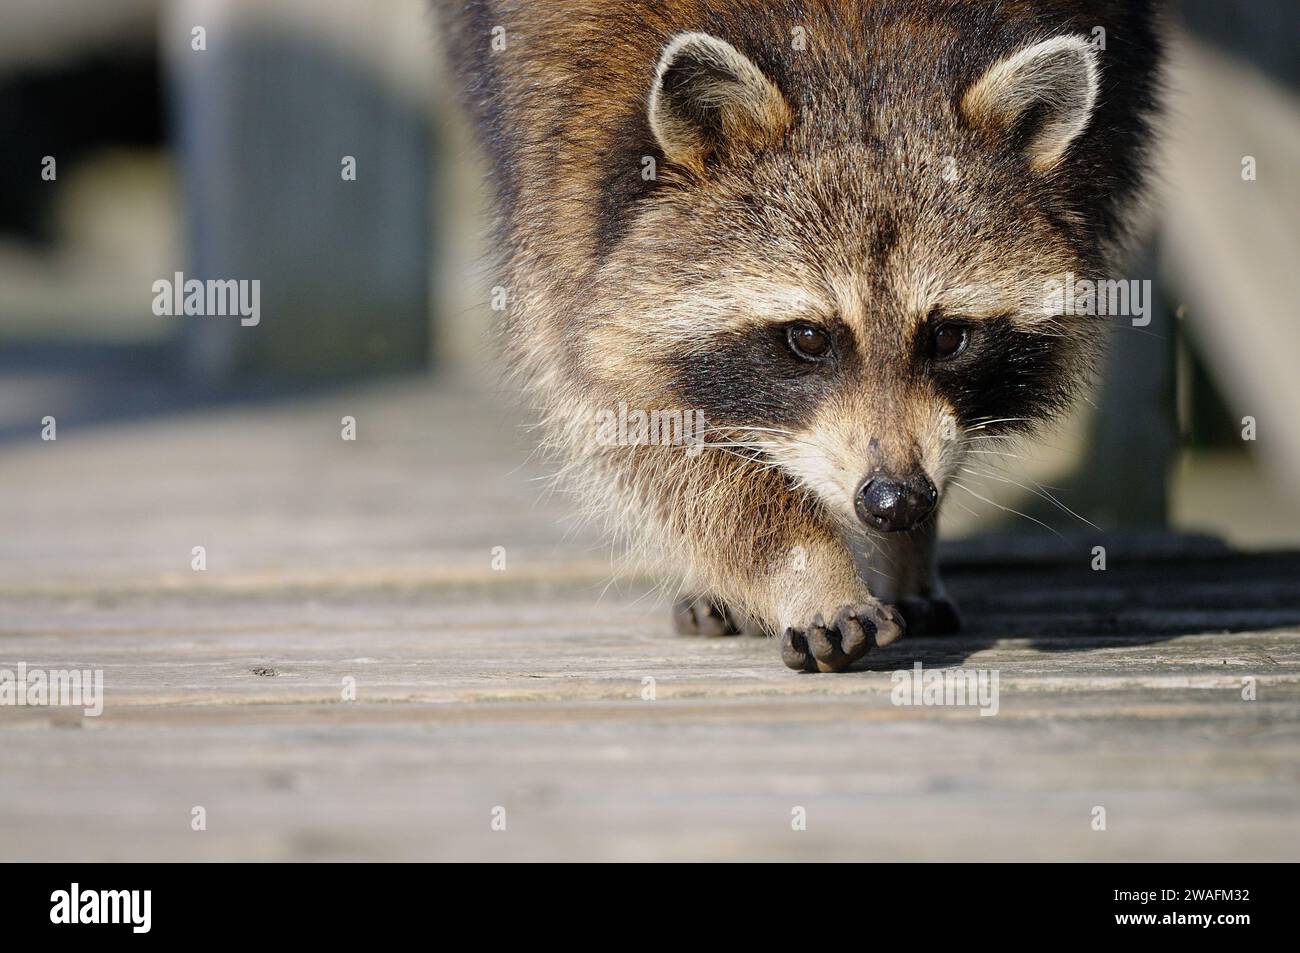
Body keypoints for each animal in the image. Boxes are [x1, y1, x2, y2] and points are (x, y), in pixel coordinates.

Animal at [435, 1, 1162, 671]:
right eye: (808, 339)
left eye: (949, 336)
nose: (897, 499)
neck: (859, 43)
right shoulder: (564, 163)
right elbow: (632, 405)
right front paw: (805, 565)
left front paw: (908, 548)